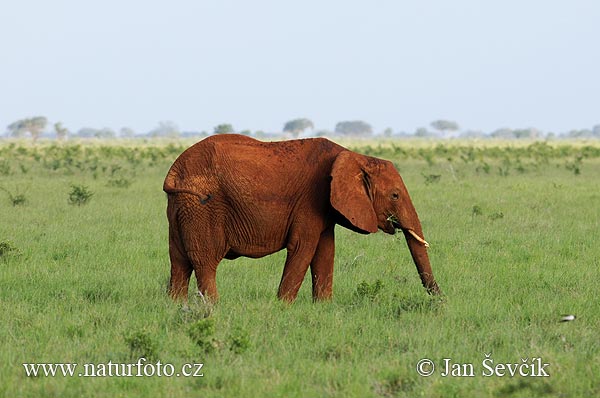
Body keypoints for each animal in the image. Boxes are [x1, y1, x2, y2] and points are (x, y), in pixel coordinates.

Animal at [164, 134, 440, 302]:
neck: (353, 155)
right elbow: (303, 248)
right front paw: (282, 307)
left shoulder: (325, 207)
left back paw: (175, 306)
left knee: (179, 263)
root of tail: (173, 173)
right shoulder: (309, 200)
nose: (440, 302)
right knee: (205, 263)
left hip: (180, 208)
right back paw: (212, 308)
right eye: (395, 195)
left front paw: (323, 307)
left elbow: (325, 251)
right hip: (202, 208)